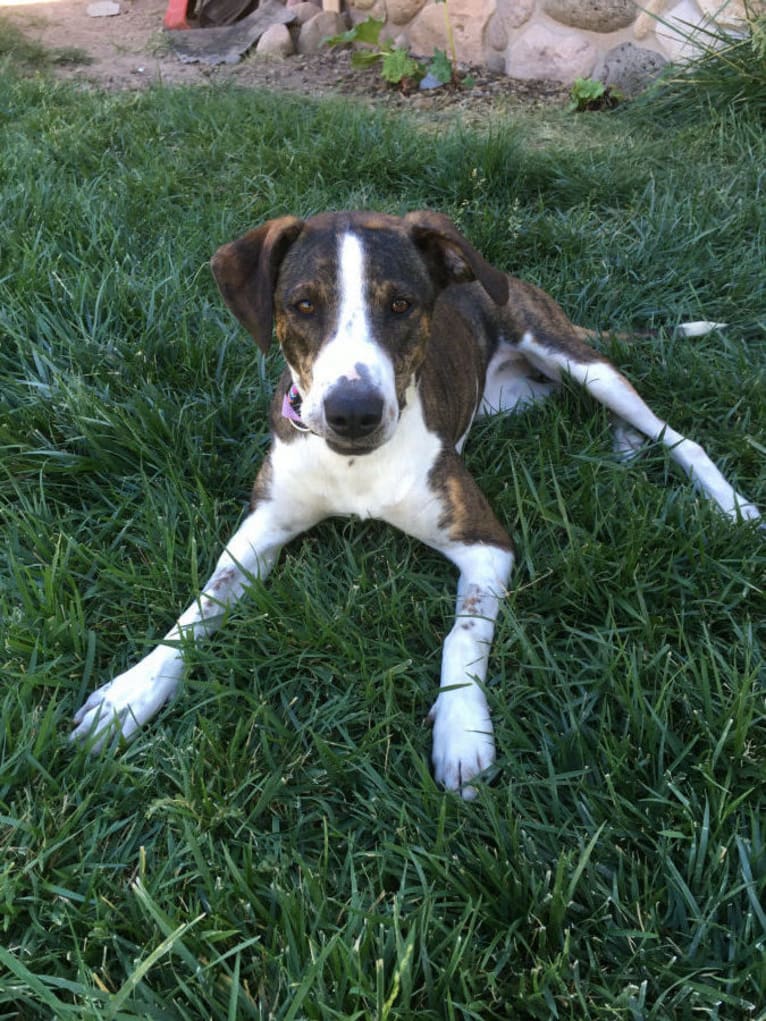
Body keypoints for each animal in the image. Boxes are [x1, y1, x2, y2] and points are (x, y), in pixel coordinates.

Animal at [70, 207, 763, 796]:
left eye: (401, 304)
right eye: (303, 305)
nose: (353, 412)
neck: (354, 463)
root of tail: (488, 273)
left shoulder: (486, 543)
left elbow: (464, 633)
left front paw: (463, 729)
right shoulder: (259, 532)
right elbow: (196, 611)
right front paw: (128, 695)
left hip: (569, 354)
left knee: (678, 436)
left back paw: (731, 505)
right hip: (515, 398)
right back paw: (622, 446)